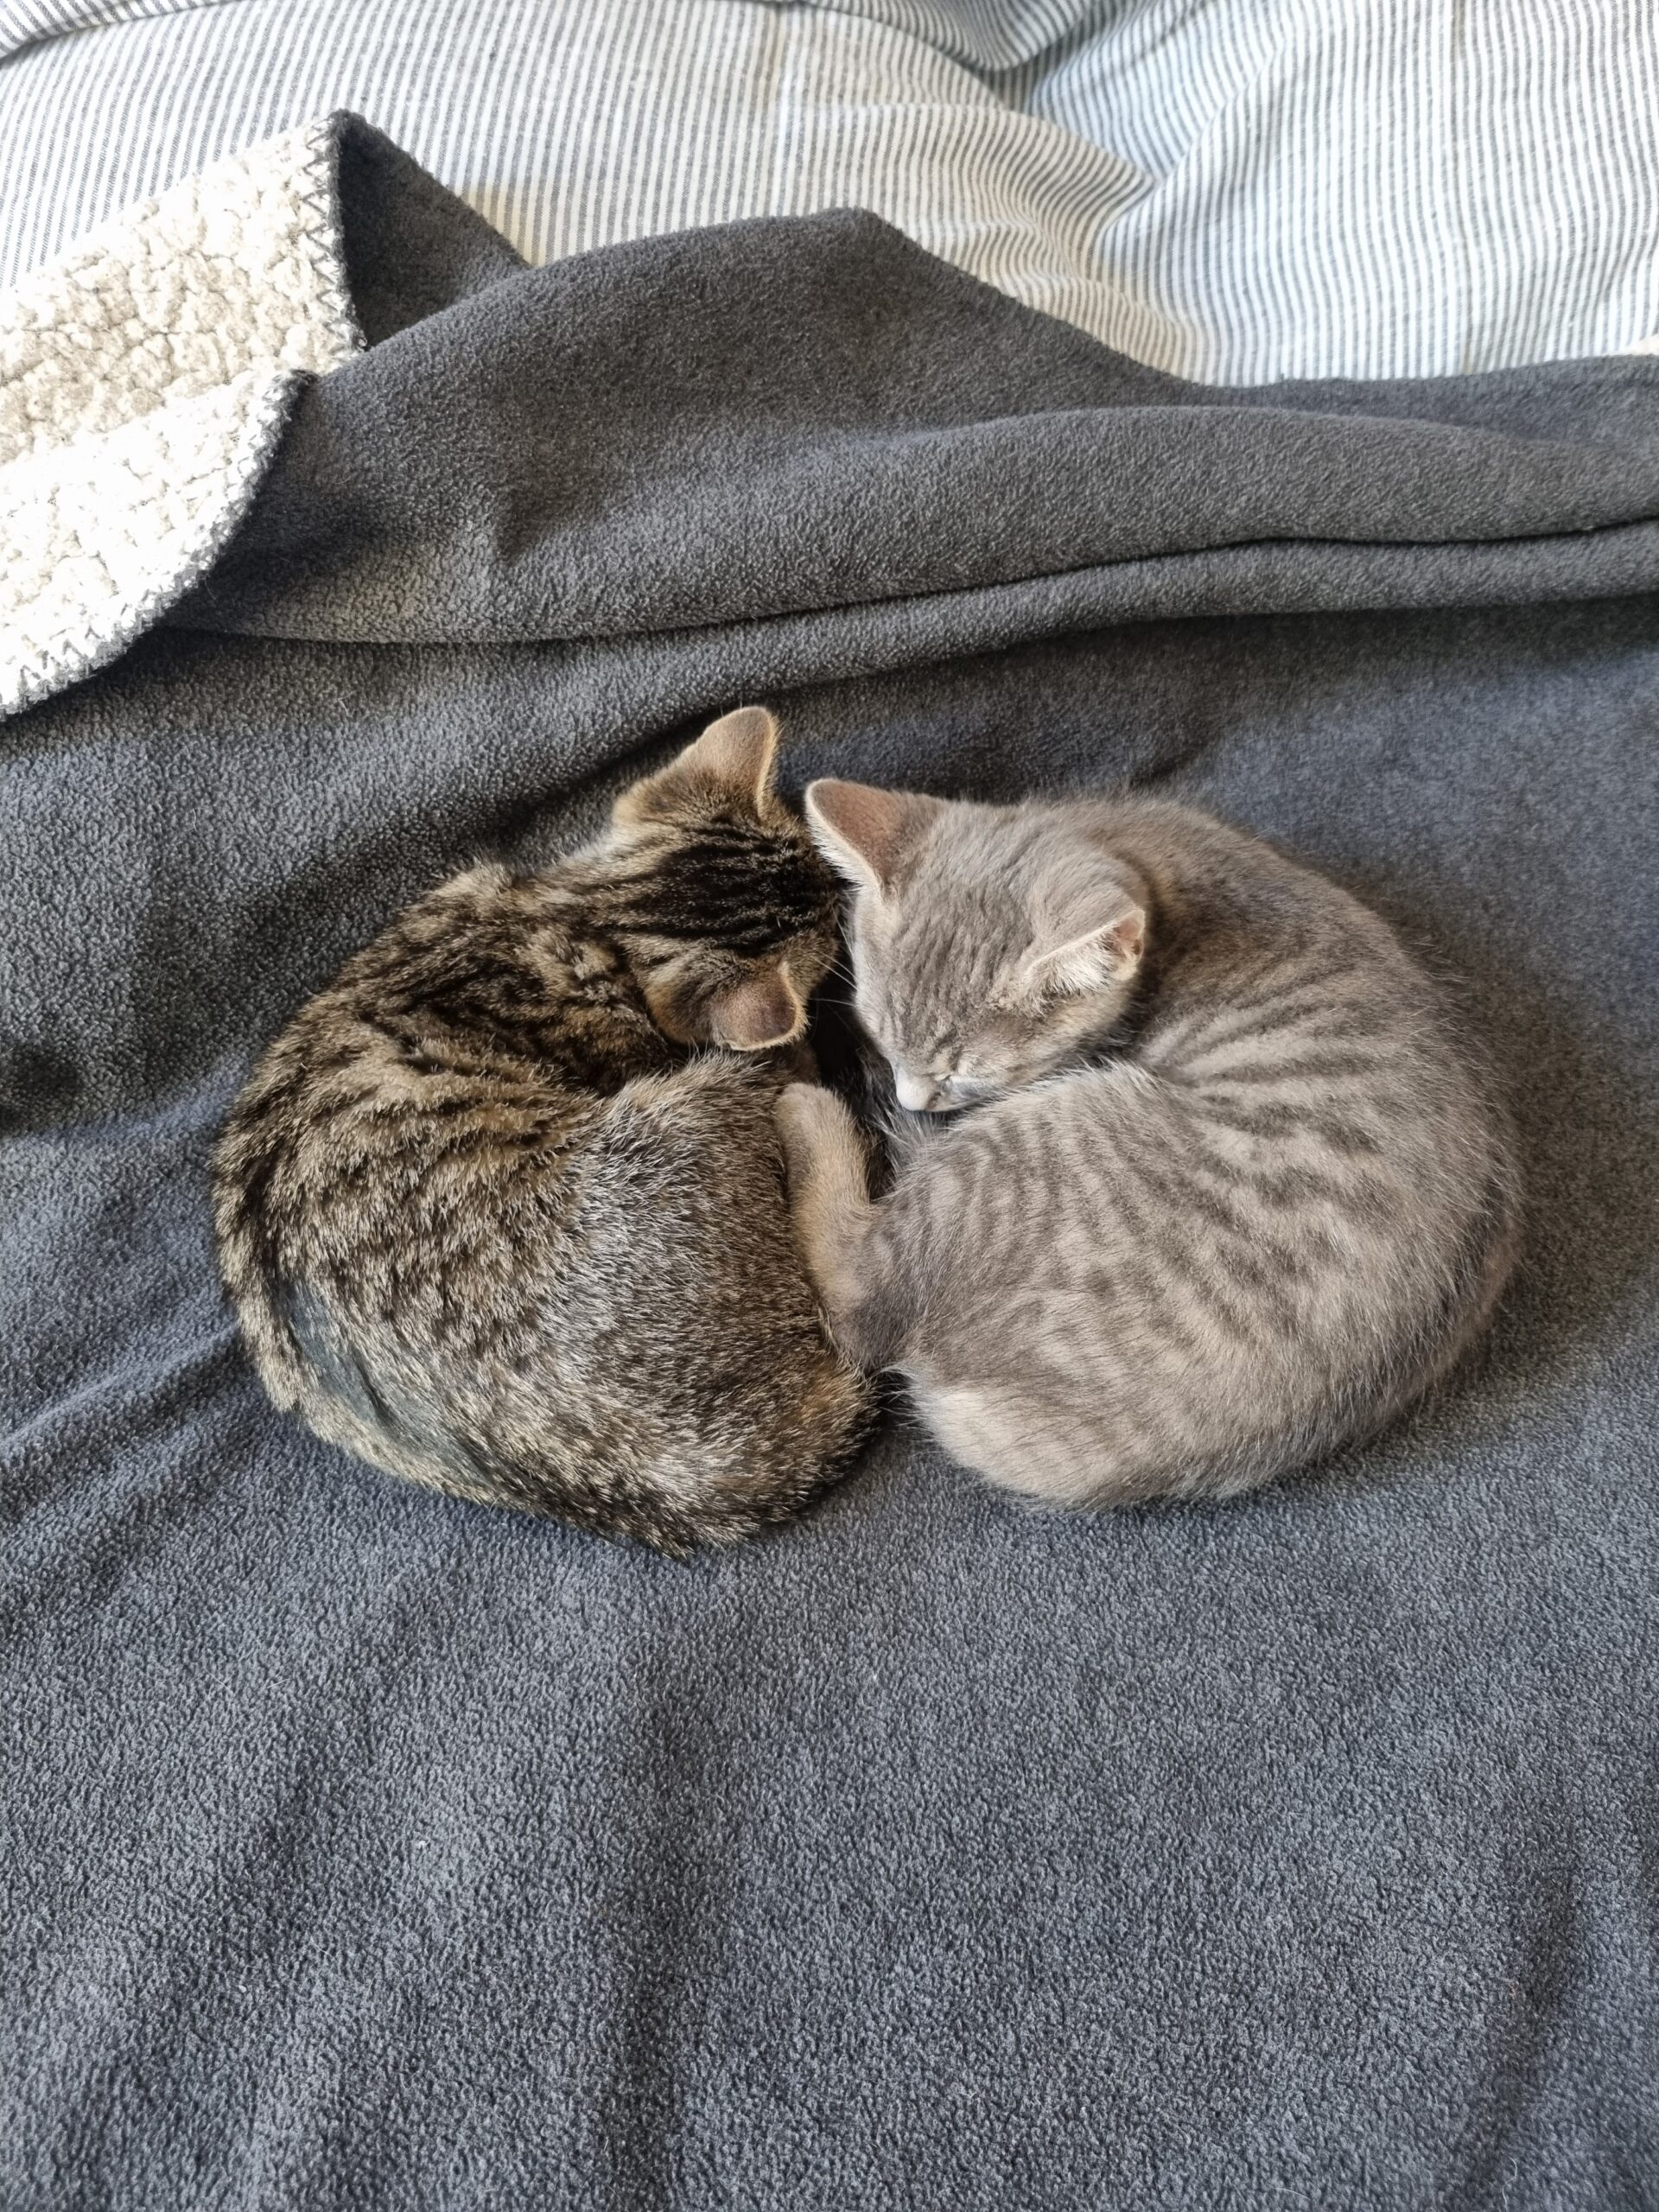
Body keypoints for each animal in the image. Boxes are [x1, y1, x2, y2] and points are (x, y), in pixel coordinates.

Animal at [776, 782, 1520, 1509]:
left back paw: (806, 1106)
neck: (1146, 855)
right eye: (881, 1034)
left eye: (964, 1075)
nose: (913, 1101)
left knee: (859, 1296)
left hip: (1033, 1143)